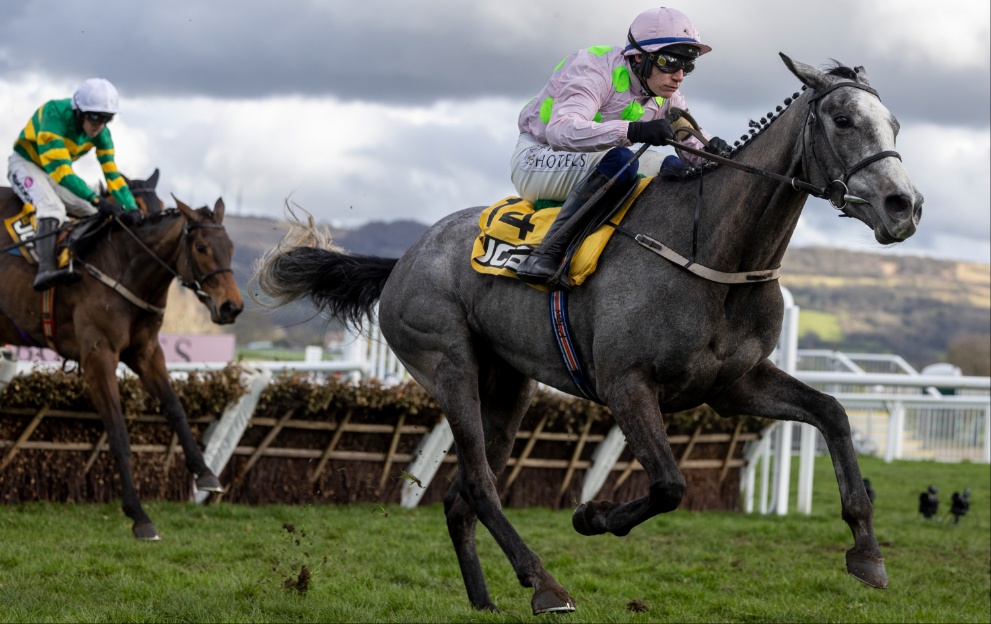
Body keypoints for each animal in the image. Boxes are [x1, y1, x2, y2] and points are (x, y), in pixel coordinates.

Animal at [0, 173, 240, 540]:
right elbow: (117, 432)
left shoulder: (146, 351)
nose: (232, 307)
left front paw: (206, 474)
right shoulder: (98, 357)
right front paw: (139, 516)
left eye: (231, 247)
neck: (124, 268)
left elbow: (175, 407)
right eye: (201, 247)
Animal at [254, 54, 924, 616]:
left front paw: (867, 553)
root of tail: (403, 261)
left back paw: (484, 601)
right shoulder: (626, 385)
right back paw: (545, 585)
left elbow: (833, 413)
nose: (904, 206)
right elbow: (670, 484)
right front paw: (592, 517)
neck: (715, 254)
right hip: (449, 366)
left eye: (894, 124)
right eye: (842, 119)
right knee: (481, 483)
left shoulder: (734, 385)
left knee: (461, 493)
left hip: (508, 386)